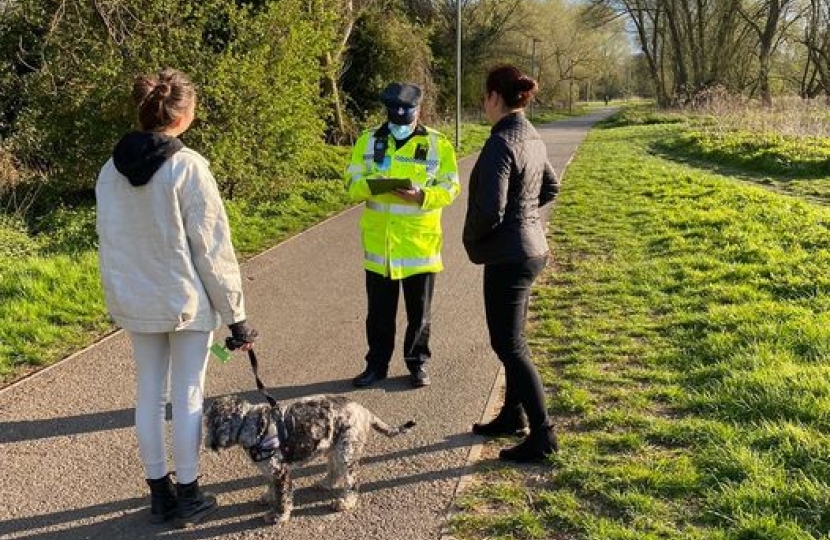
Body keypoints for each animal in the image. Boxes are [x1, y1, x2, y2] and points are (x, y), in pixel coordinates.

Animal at [206, 394, 420, 524]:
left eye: (210, 424)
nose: (207, 443)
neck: (251, 423)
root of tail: (365, 411)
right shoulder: (271, 471)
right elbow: (271, 487)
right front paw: (268, 498)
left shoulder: (280, 471)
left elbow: (283, 497)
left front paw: (279, 516)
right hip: (333, 447)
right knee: (335, 470)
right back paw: (324, 484)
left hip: (347, 451)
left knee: (352, 482)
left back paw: (345, 502)